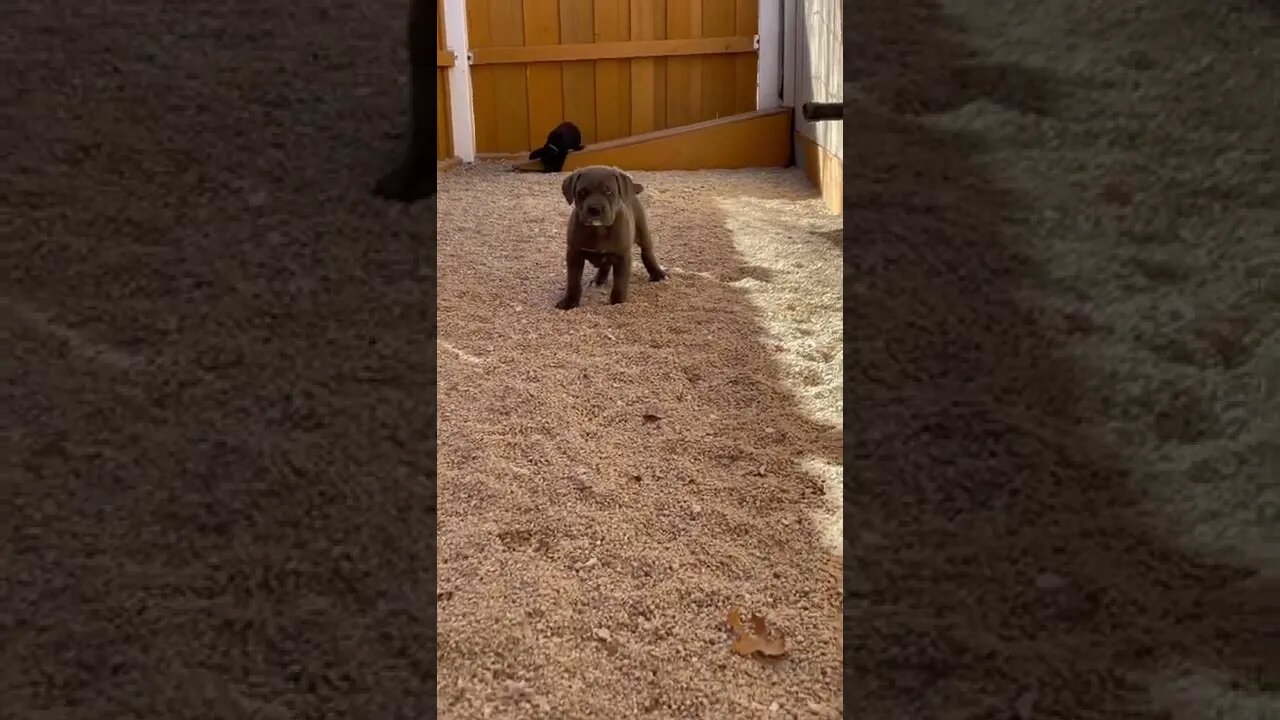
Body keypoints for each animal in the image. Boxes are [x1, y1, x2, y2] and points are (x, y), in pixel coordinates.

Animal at [555, 165, 665, 308]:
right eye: (582, 193)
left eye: (608, 192)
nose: (595, 208)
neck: (599, 229)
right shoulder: (574, 254)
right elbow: (573, 280)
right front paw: (569, 301)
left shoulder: (622, 256)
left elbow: (620, 282)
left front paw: (618, 303)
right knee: (605, 264)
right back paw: (599, 279)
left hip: (643, 232)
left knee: (647, 253)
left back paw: (657, 273)